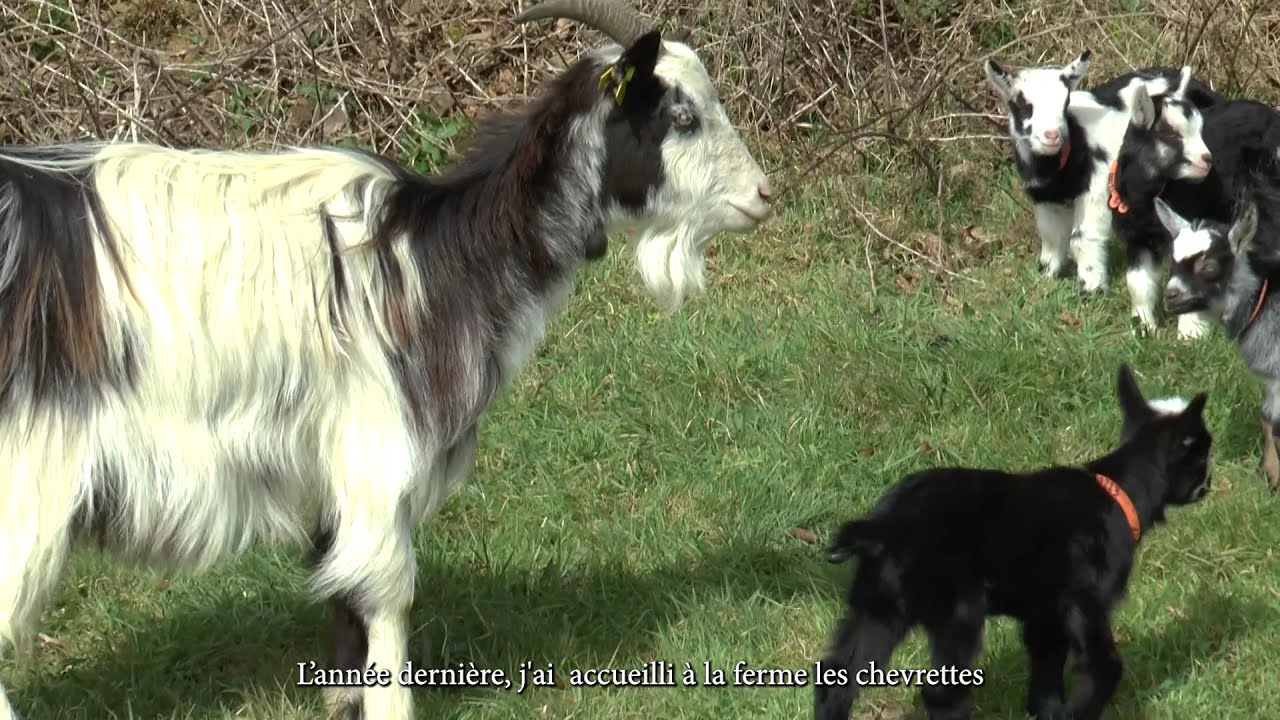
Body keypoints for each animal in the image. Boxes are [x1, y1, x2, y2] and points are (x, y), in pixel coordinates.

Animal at [0, 1, 773, 718]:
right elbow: (388, 594)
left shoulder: (326, 472)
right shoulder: (375, 446)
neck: (433, 256)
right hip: (31, 472)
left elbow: (342, 597)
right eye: (681, 115)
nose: (763, 195)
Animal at [814, 364, 1213, 720]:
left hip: (878, 608)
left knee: (836, 678)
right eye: (1203, 456)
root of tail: (886, 525)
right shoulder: (1085, 602)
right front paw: (1079, 712)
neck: (1119, 490)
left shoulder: (1045, 616)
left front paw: (1049, 713)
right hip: (958, 614)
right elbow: (1103, 667)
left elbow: (1046, 674)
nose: (1210, 483)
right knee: (942, 692)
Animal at [984, 56, 1222, 295]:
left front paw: (1092, 287)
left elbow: (1081, 237)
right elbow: (1051, 236)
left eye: (1064, 103)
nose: (1051, 135)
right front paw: (1047, 277)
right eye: (1023, 104)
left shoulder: (1097, 187)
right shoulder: (1045, 197)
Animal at [1109, 81, 1280, 339]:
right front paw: (1143, 327)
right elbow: (1138, 284)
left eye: (1199, 131)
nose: (1206, 160)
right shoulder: (1138, 238)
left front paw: (1191, 335)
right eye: (1171, 133)